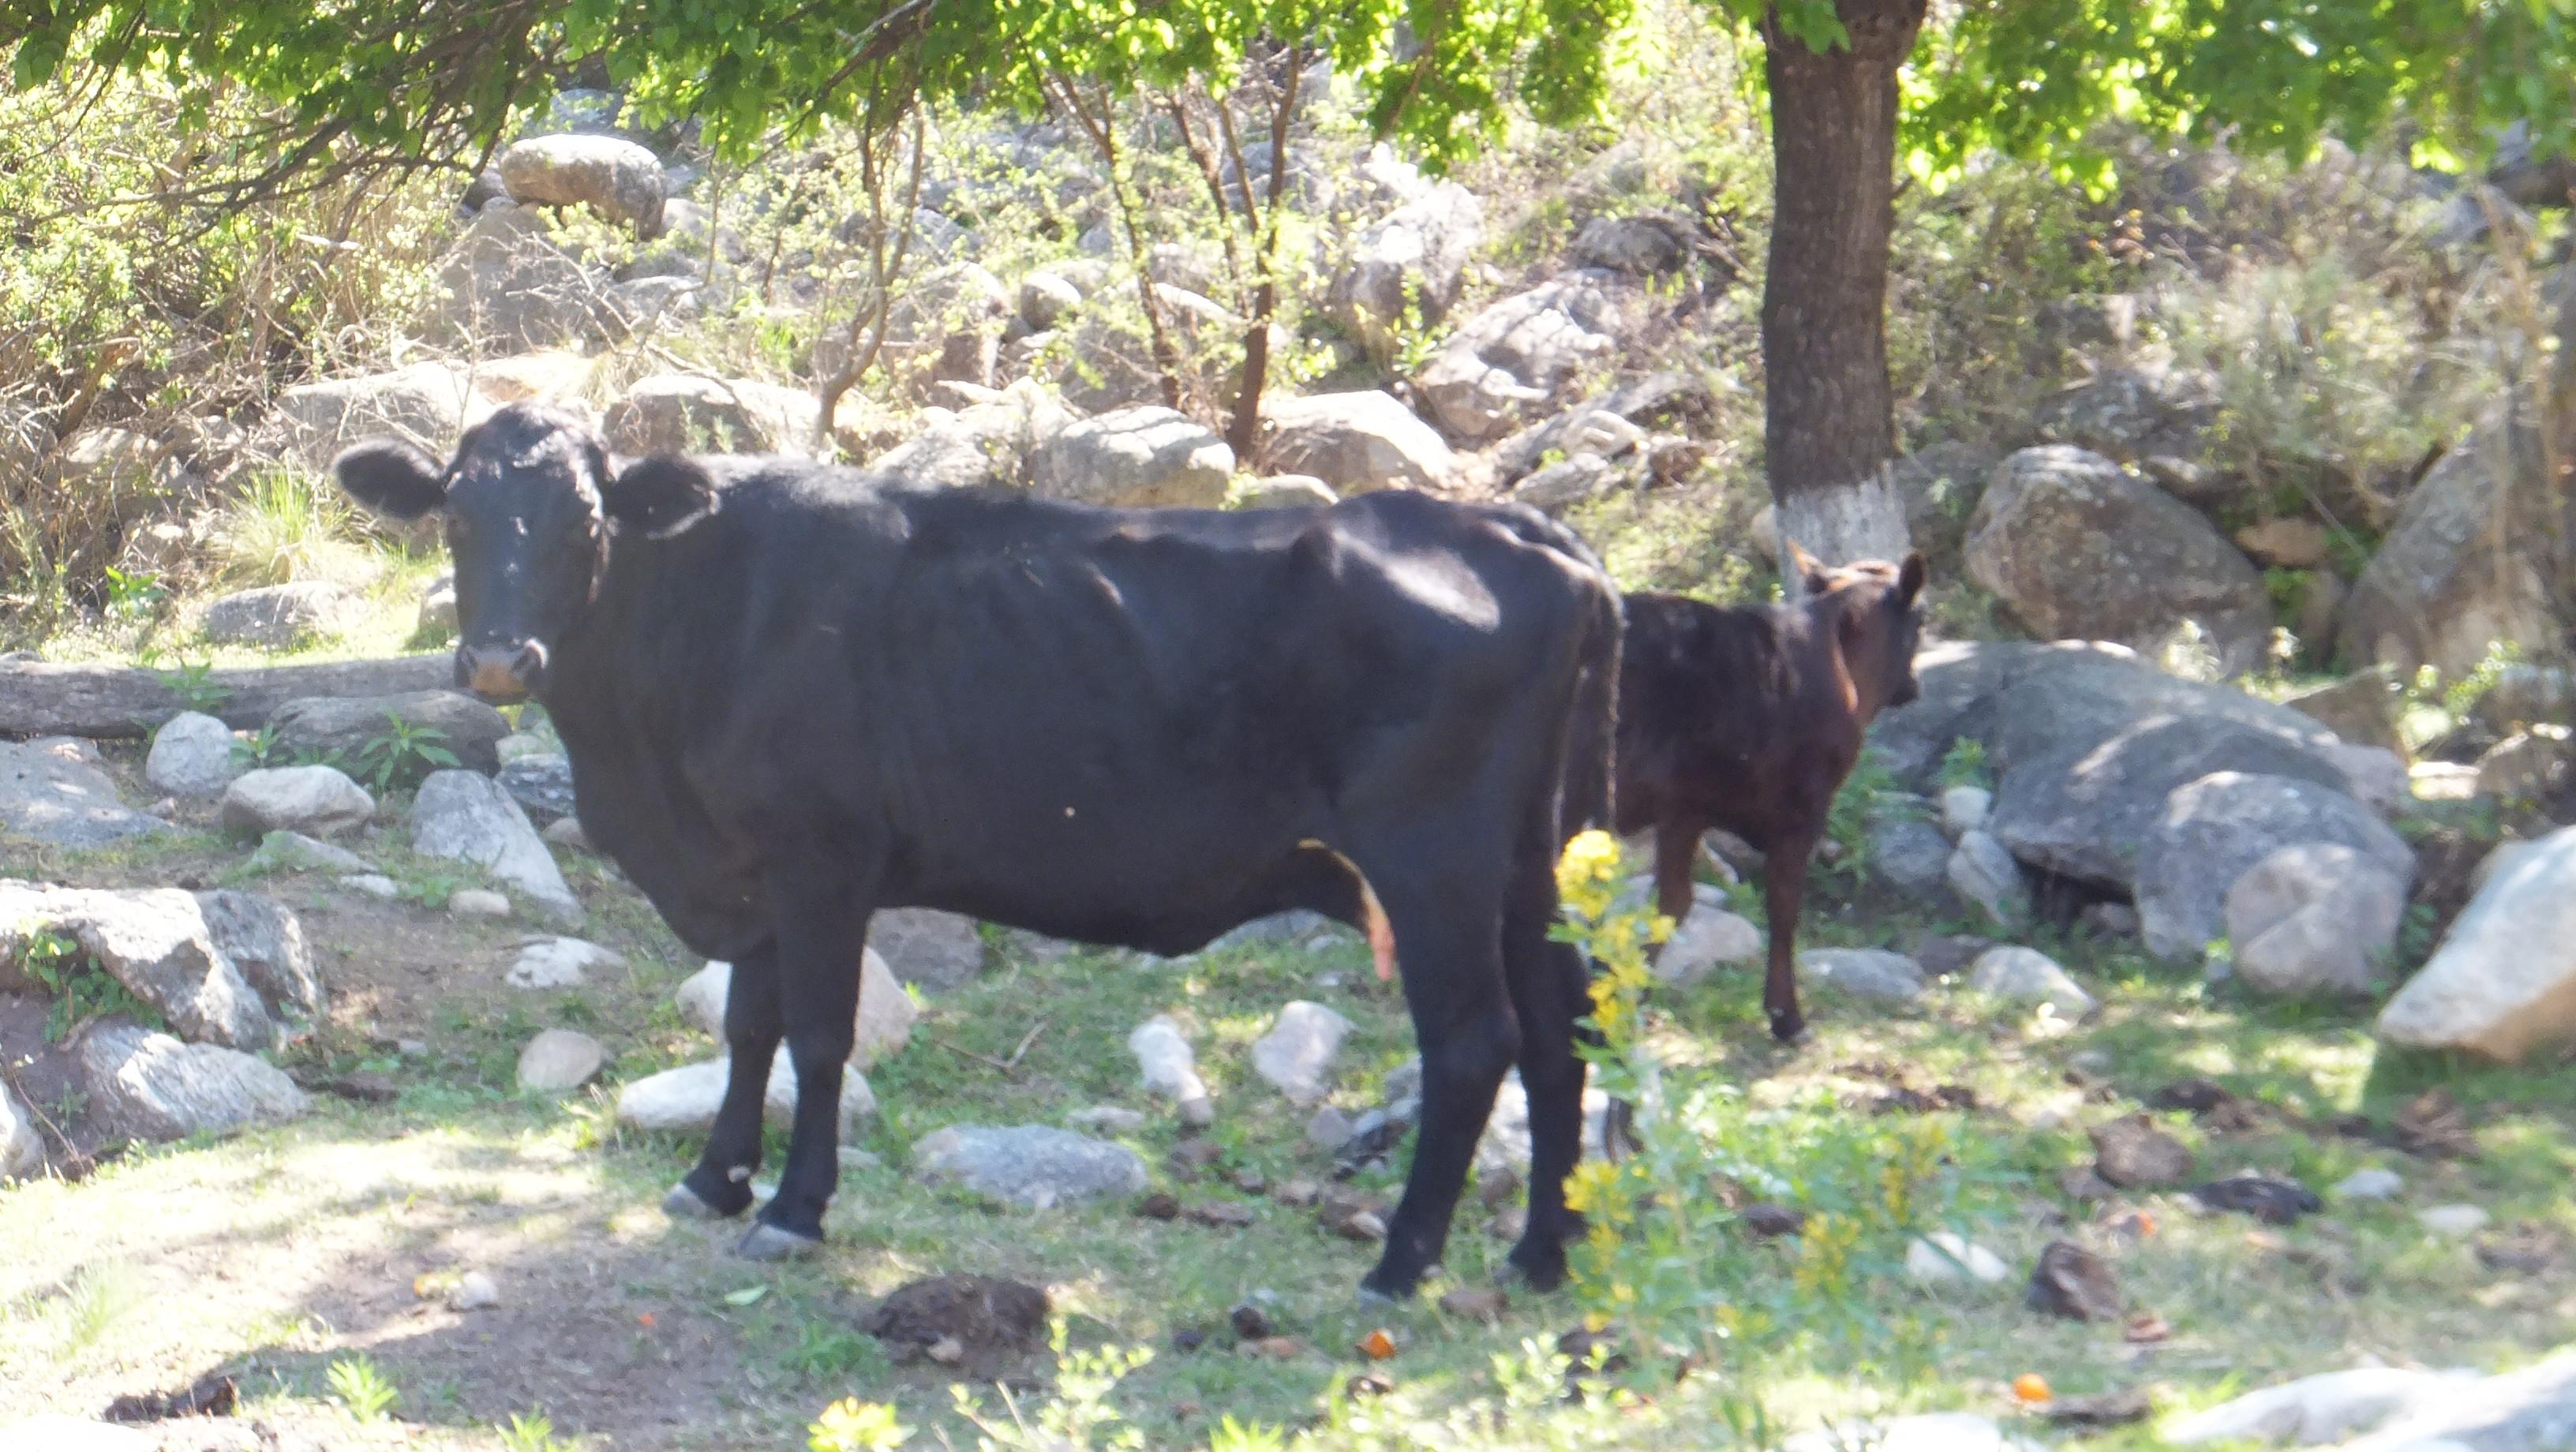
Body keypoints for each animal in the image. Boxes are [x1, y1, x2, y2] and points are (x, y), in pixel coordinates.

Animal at [332, 401, 1617, 1297]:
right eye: (455, 516)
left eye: (585, 523)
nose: (501, 661)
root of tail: (1508, 525)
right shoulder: (751, 869)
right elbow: (745, 1027)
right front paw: (712, 1179)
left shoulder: (823, 860)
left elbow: (817, 1036)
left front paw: (793, 1210)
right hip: (1528, 866)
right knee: (1563, 1027)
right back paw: (1539, 1256)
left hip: (1433, 860)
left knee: (1476, 1041)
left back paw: (1400, 1265)